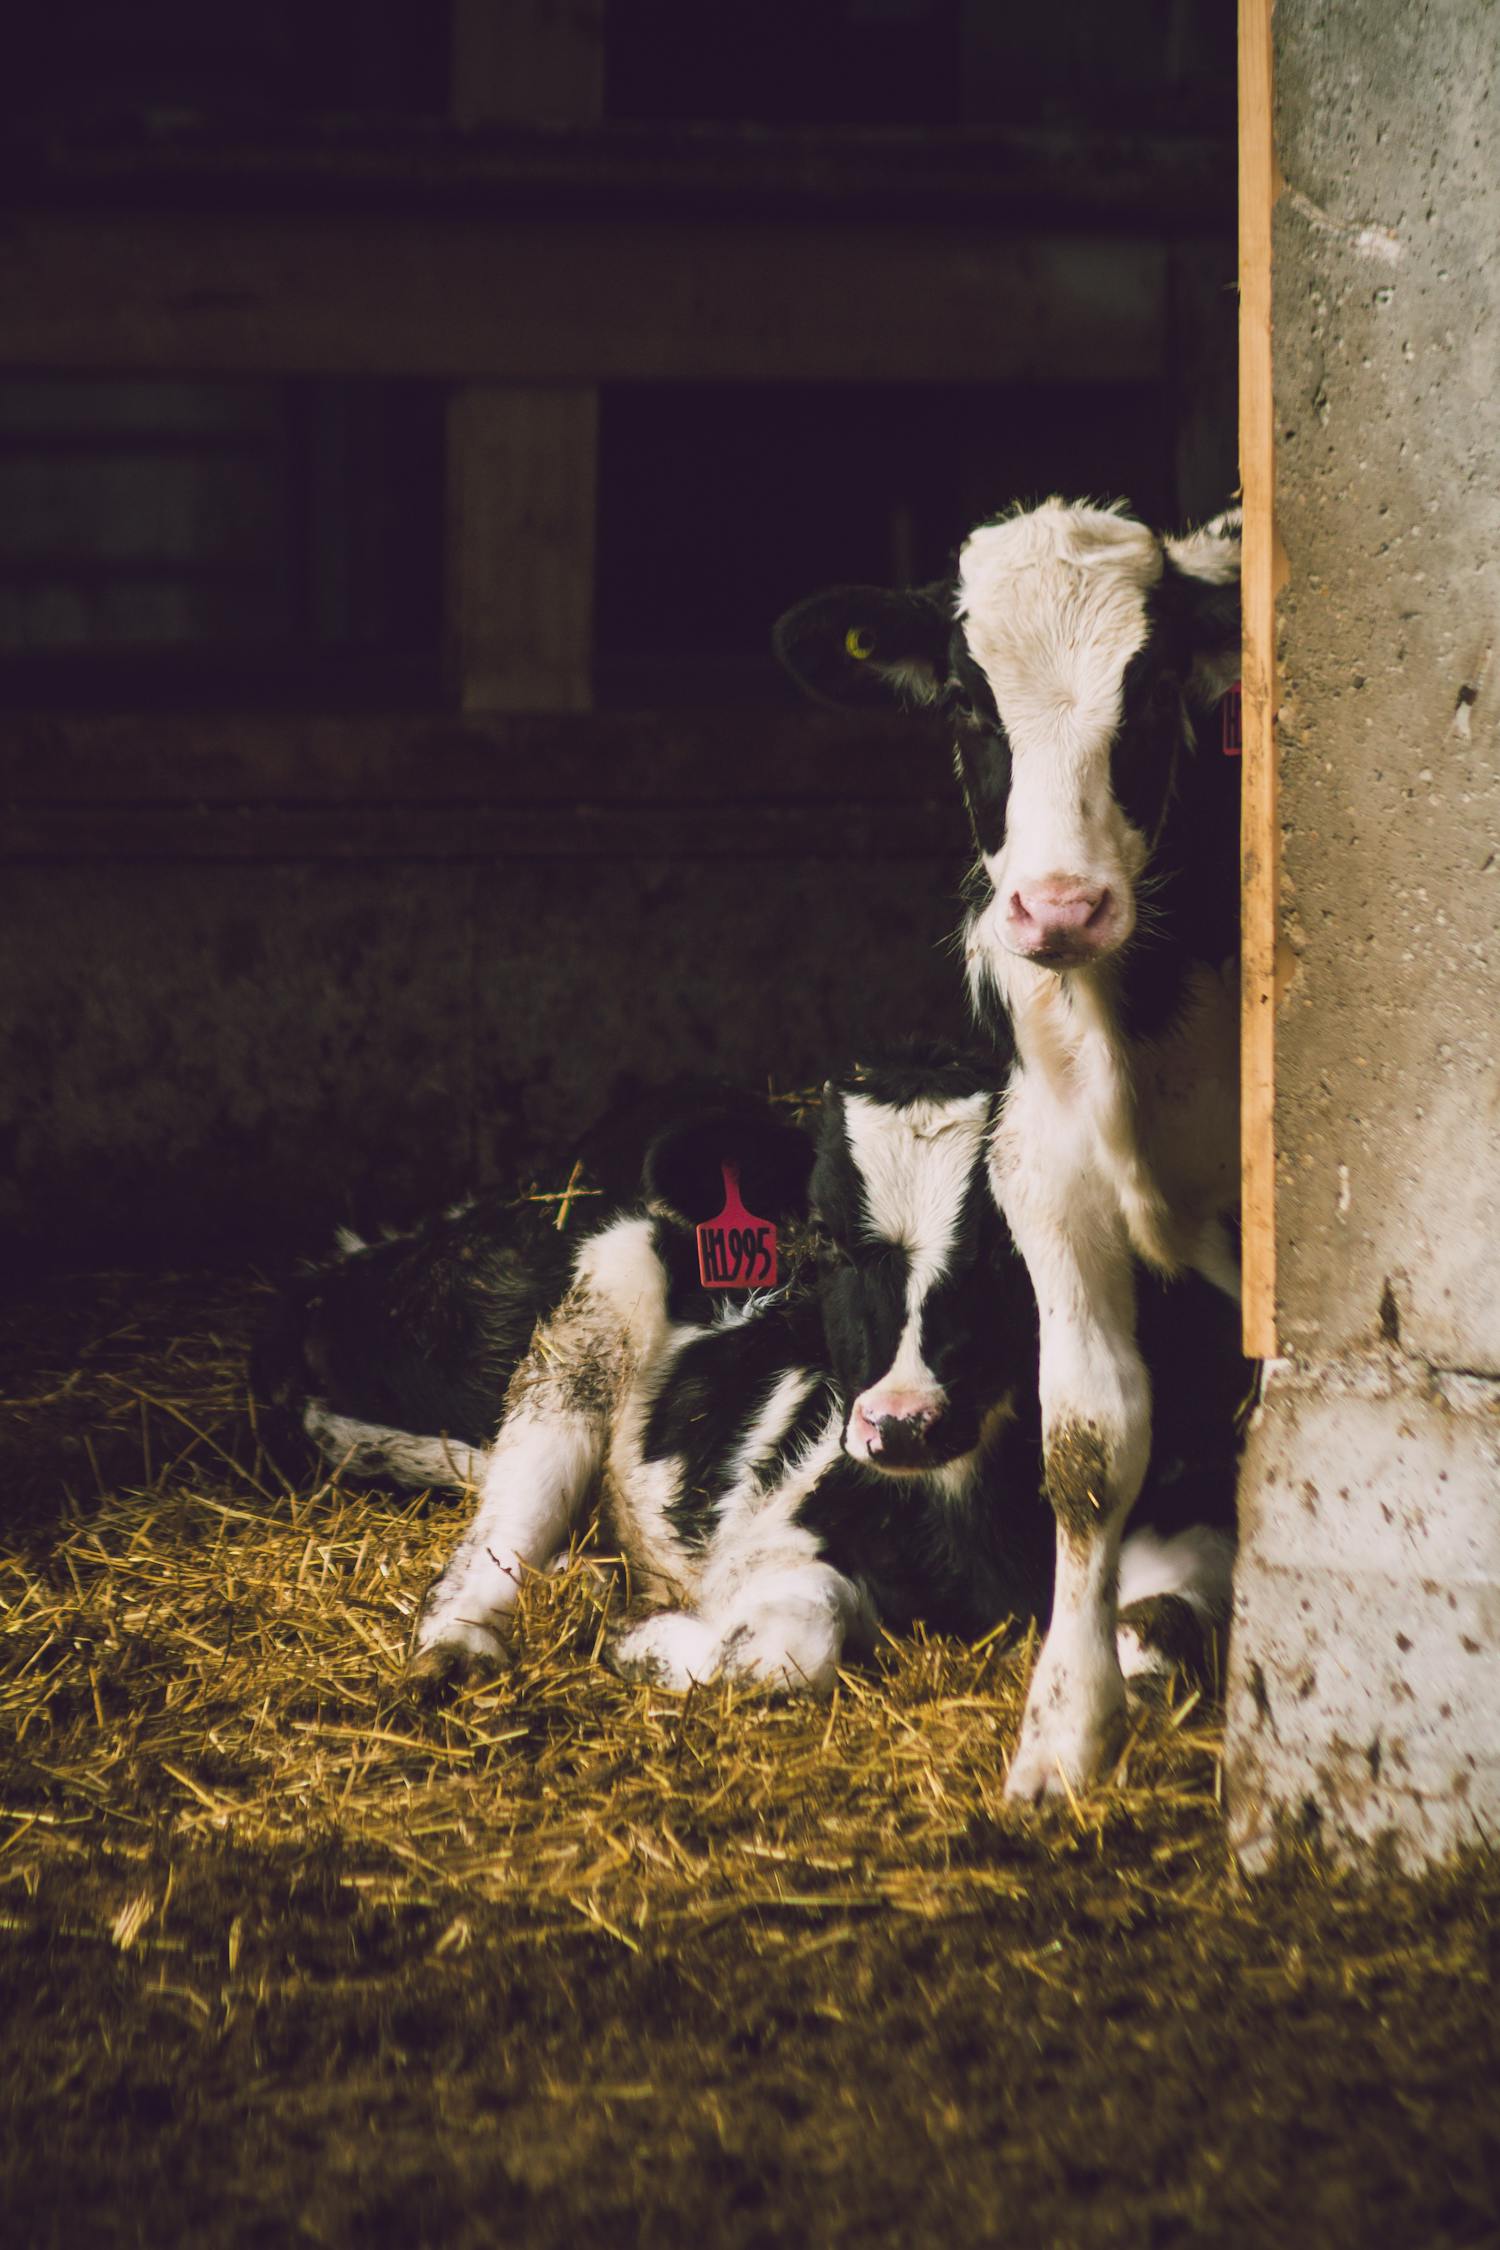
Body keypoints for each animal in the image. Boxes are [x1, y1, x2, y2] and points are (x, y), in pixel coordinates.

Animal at [269, 1053, 1232, 1701]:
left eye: (1015, 1250)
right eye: (829, 1242)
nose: (900, 1422)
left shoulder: (1188, 1512)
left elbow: (1161, 1642)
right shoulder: (766, 1525)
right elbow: (781, 1648)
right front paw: (647, 1644)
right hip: (588, 1320)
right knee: (498, 1532)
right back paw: (468, 1643)